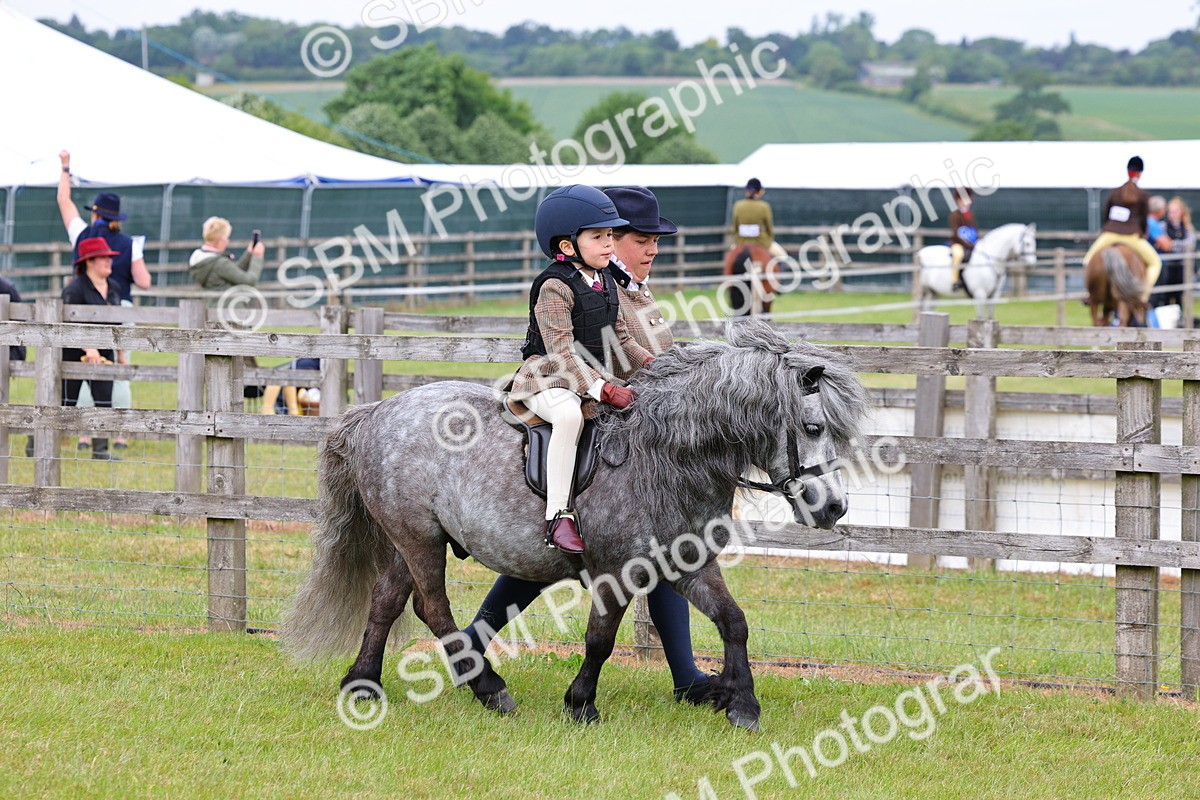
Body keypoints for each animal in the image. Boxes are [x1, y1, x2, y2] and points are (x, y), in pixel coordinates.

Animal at [282, 319, 870, 732]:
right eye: (812, 427)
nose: (833, 509)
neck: (665, 455)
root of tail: (376, 412)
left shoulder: (690, 565)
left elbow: (734, 622)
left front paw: (741, 703)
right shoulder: (616, 572)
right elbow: (600, 639)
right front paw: (581, 704)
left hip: (411, 540)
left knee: (386, 600)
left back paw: (363, 684)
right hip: (420, 538)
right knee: (433, 609)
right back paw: (487, 686)